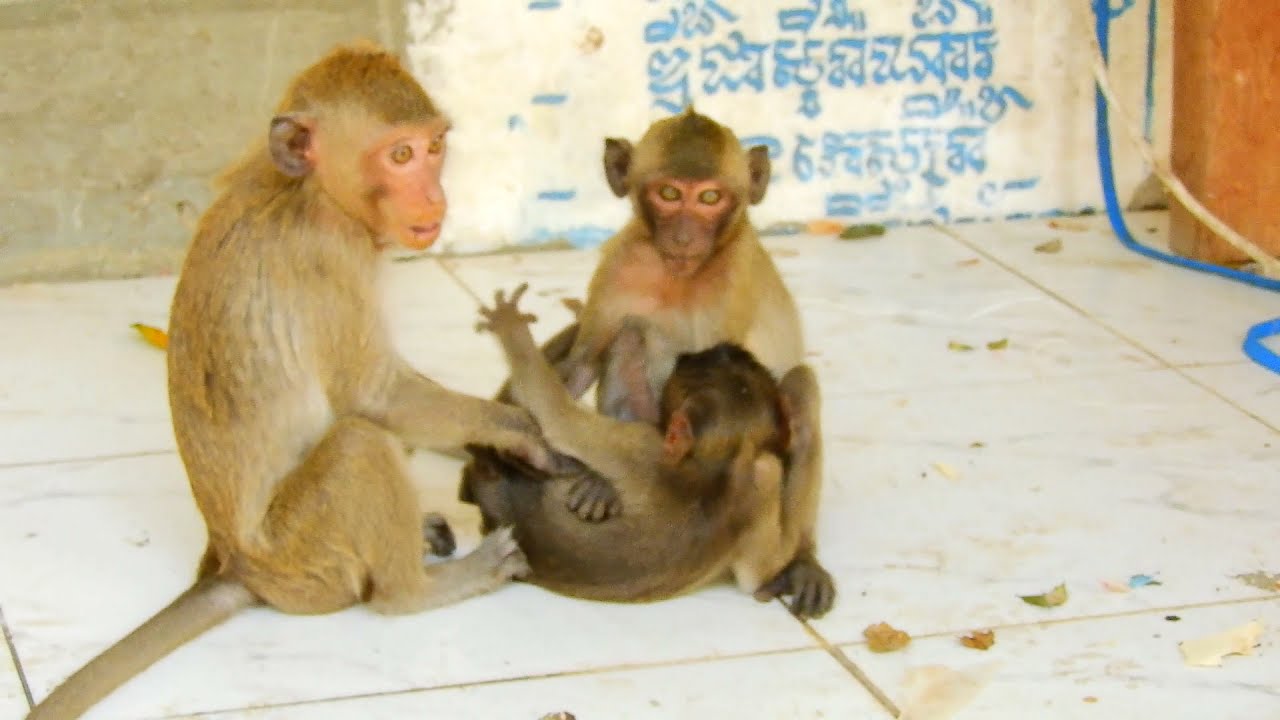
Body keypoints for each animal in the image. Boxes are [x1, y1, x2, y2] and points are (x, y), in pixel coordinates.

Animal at [25, 44, 547, 720]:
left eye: (434, 147)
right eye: (399, 155)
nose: (434, 196)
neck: (305, 188)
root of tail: (237, 569)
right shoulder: (328, 252)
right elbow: (375, 396)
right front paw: (520, 429)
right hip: (302, 554)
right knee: (359, 444)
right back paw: (419, 588)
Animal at [462, 283, 823, 609]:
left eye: (687, 366)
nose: (717, 349)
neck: (723, 462)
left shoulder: (644, 445)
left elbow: (556, 413)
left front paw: (510, 325)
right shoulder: (764, 474)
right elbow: (757, 579)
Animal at [529, 107, 835, 618]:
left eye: (710, 197)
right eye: (670, 194)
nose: (685, 234)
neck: (677, 273)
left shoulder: (731, 282)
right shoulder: (618, 267)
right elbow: (584, 362)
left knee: (800, 386)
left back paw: (803, 559)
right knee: (628, 335)